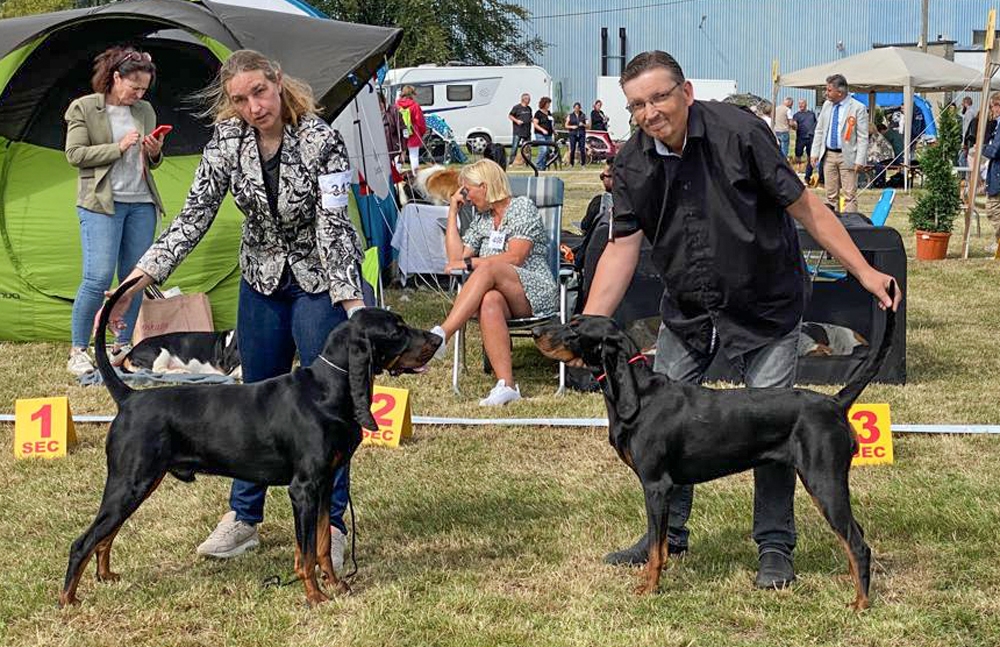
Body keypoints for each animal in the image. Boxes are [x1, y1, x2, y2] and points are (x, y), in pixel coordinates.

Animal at [59, 278, 438, 608]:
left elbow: (322, 544)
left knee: (105, 536)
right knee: (83, 542)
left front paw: (336, 584)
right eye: (396, 331)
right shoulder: (303, 488)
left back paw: (106, 576)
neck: (327, 390)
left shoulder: (325, 483)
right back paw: (67, 600)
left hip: (141, 484)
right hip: (130, 483)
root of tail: (129, 398)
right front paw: (315, 596)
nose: (436, 340)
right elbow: (305, 552)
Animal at [536, 296, 896, 612]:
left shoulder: (656, 485)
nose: (537, 331)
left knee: (857, 544)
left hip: (824, 481)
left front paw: (649, 588)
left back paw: (861, 603)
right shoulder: (667, 489)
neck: (639, 394)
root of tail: (835, 403)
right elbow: (661, 544)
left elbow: (655, 548)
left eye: (575, 328)